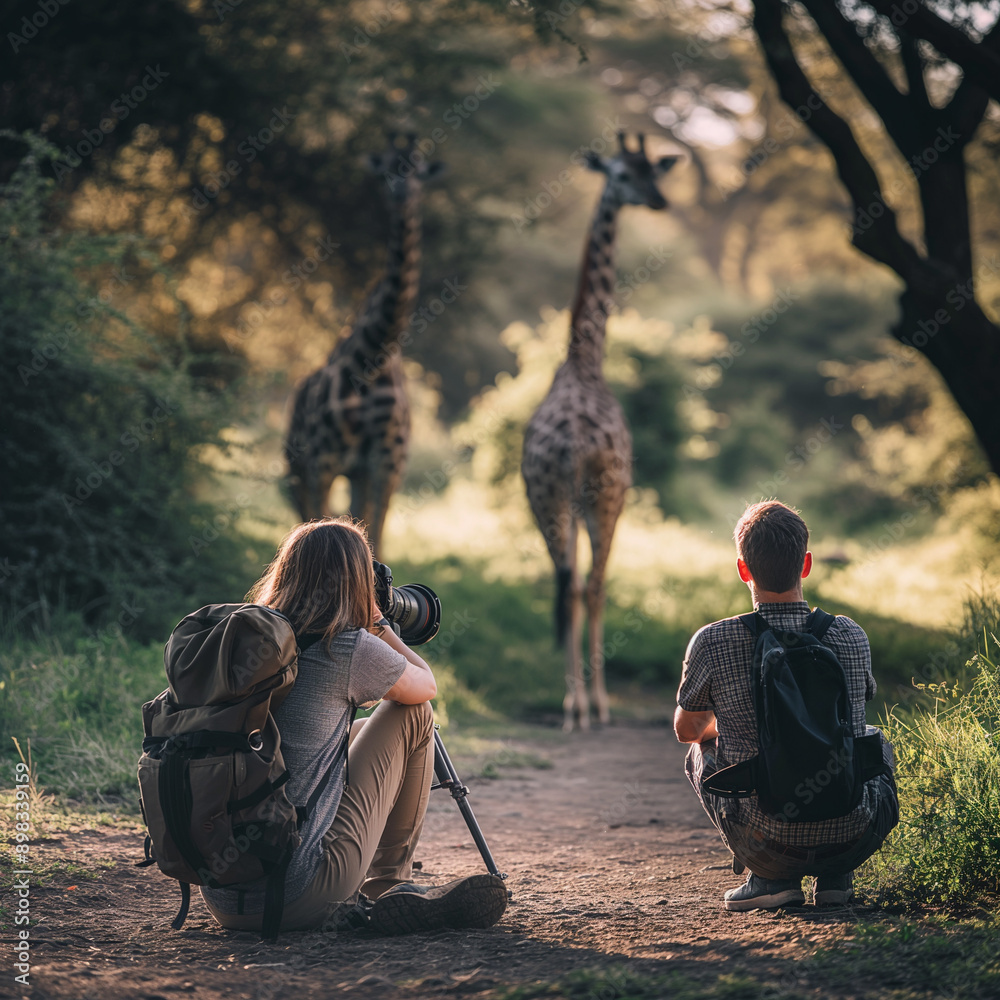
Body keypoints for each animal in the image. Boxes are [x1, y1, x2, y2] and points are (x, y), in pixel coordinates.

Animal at [284, 133, 444, 560]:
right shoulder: (322, 461)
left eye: (420, 171)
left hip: (353, 473)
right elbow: (318, 526)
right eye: (387, 169)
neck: (371, 359)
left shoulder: (385, 465)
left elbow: (376, 534)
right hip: (297, 466)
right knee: (299, 512)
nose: (403, 194)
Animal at [520, 133, 676, 732]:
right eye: (626, 175)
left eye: (652, 169)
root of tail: (571, 448)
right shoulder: (617, 496)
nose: (661, 200)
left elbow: (570, 587)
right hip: (603, 498)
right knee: (592, 584)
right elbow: (598, 587)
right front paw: (600, 702)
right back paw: (592, 705)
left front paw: (580, 700)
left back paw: (571, 706)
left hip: (546, 500)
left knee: (564, 585)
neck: (584, 358)